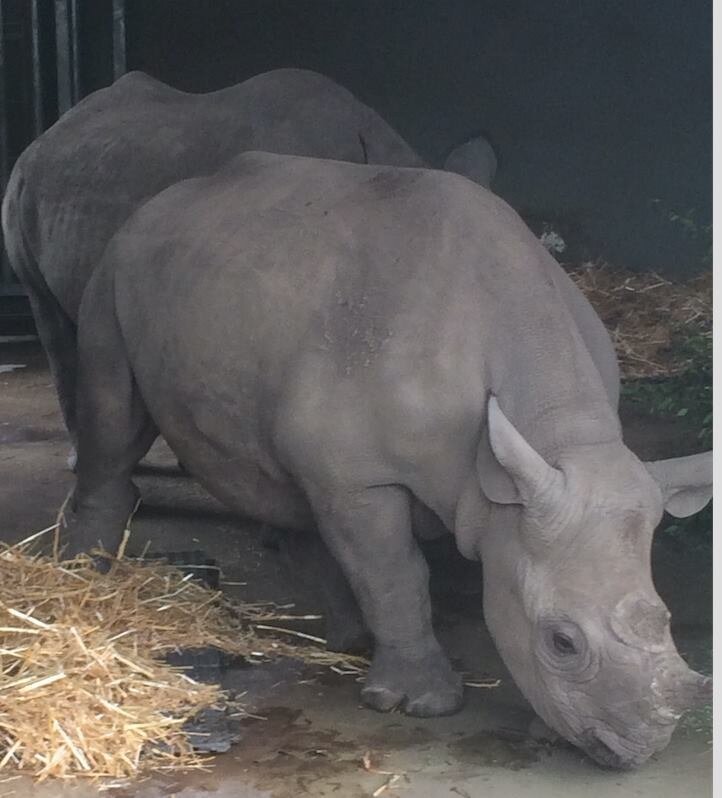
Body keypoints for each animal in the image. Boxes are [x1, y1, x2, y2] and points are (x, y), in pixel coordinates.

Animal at [58, 151, 712, 769]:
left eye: (668, 621)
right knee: (111, 414)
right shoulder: (362, 476)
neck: (554, 432)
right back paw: (86, 577)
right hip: (115, 267)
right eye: (562, 643)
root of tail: (163, 199)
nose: (636, 751)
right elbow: (395, 573)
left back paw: (346, 640)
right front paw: (419, 705)